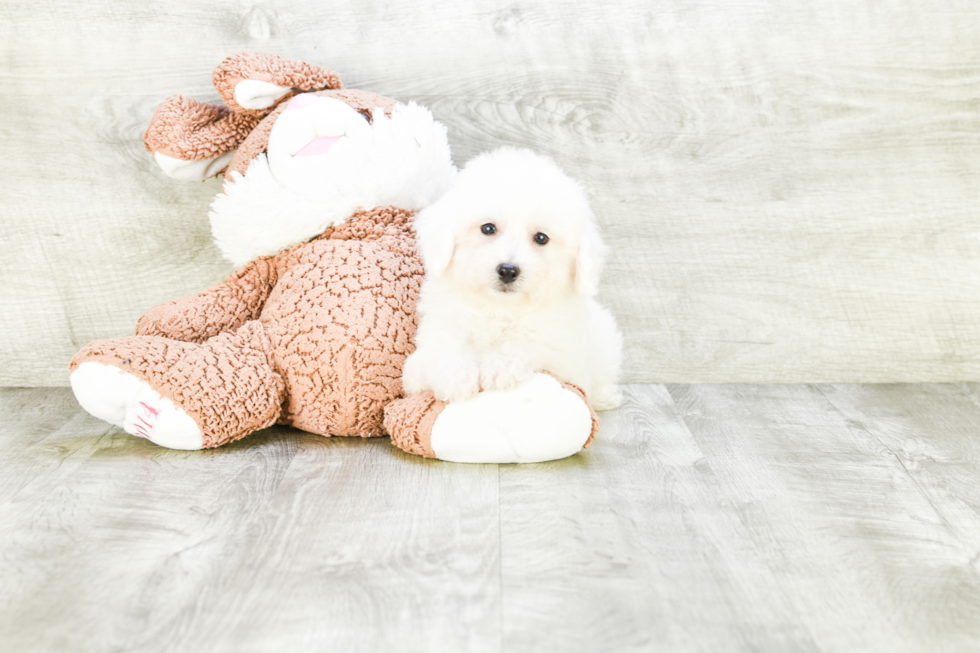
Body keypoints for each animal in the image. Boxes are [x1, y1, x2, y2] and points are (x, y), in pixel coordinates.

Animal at [402, 149, 624, 412]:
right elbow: (441, 348)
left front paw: (499, 365)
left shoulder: (565, 361)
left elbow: (532, 344)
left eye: (541, 238)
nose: (508, 270)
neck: (501, 310)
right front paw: (457, 376)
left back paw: (606, 397)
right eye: (488, 228)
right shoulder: (425, 351)